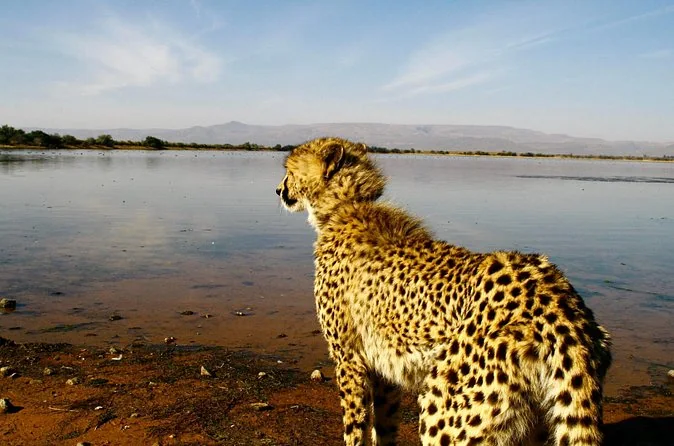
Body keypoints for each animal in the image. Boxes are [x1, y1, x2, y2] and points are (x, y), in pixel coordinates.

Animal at [276, 137, 612, 446]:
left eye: (289, 172)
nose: (279, 190)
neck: (345, 206)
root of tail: (558, 299)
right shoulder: (384, 368)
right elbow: (384, 425)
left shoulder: (350, 359)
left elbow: (355, 427)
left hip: (446, 408)